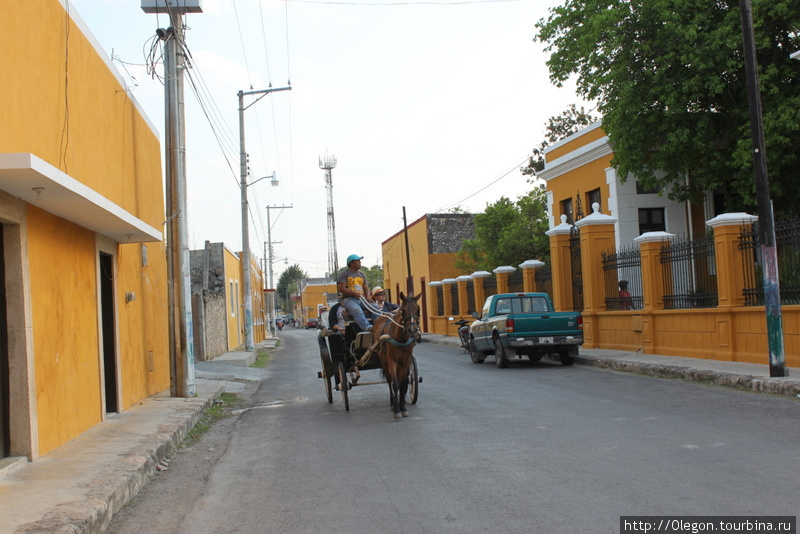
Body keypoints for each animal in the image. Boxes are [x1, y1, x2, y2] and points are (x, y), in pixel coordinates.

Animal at [374, 292, 422, 420]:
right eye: (403, 311)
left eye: (418, 309)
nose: (412, 330)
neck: (401, 338)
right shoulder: (392, 361)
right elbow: (395, 384)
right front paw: (397, 410)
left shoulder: (406, 361)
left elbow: (403, 383)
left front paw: (403, 407)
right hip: (384, 361)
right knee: (389, 380)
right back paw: (392, 403)